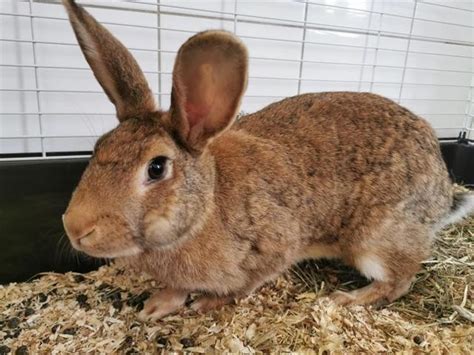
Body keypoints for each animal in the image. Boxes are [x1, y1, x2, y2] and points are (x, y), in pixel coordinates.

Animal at [62, 0, 474, 322]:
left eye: (157, 167)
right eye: (98, 146)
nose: (74, 227)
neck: (203, 209)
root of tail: (442, 190)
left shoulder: (275, 247)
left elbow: (244, 284)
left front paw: (207, 302)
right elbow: (176, 289)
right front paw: (156, 306)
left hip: (376, 240)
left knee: (400, 279)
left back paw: (347, 299)